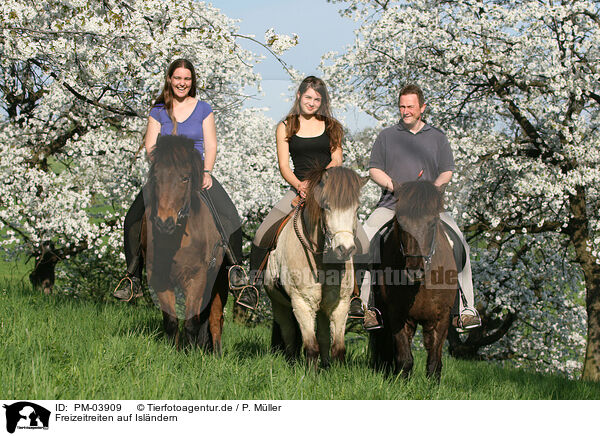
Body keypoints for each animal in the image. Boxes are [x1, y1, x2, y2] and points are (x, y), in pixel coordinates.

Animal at [141, 135, 230, 352]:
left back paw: (216, 354)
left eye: (185, 178)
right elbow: (171, 321)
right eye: (156, 177)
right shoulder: (160, 279)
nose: (164, 223)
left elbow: (191, 322)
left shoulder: (196, 279)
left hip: (218, 283)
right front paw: (173, 351)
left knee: (215, 320)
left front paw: (189, 353)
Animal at [266, 166, 368, 368]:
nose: (345, 249)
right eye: (327, 206)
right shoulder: (302, 303)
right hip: (279, 304)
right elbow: (311, 347)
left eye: (357, 208)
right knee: (289, 333)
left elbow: (337, 348)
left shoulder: (340, 304)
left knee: (323, 337)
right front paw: (310, 374)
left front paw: (334, 371)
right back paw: (292, 361)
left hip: (321, 308)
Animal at [368, 181, 458, 382]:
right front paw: (400, 382)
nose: (415, 271)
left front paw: (432, 385)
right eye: (401, 224)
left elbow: (434, 360)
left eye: (432, 222)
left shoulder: (441, 318)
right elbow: (405, 358)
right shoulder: (398, 315)